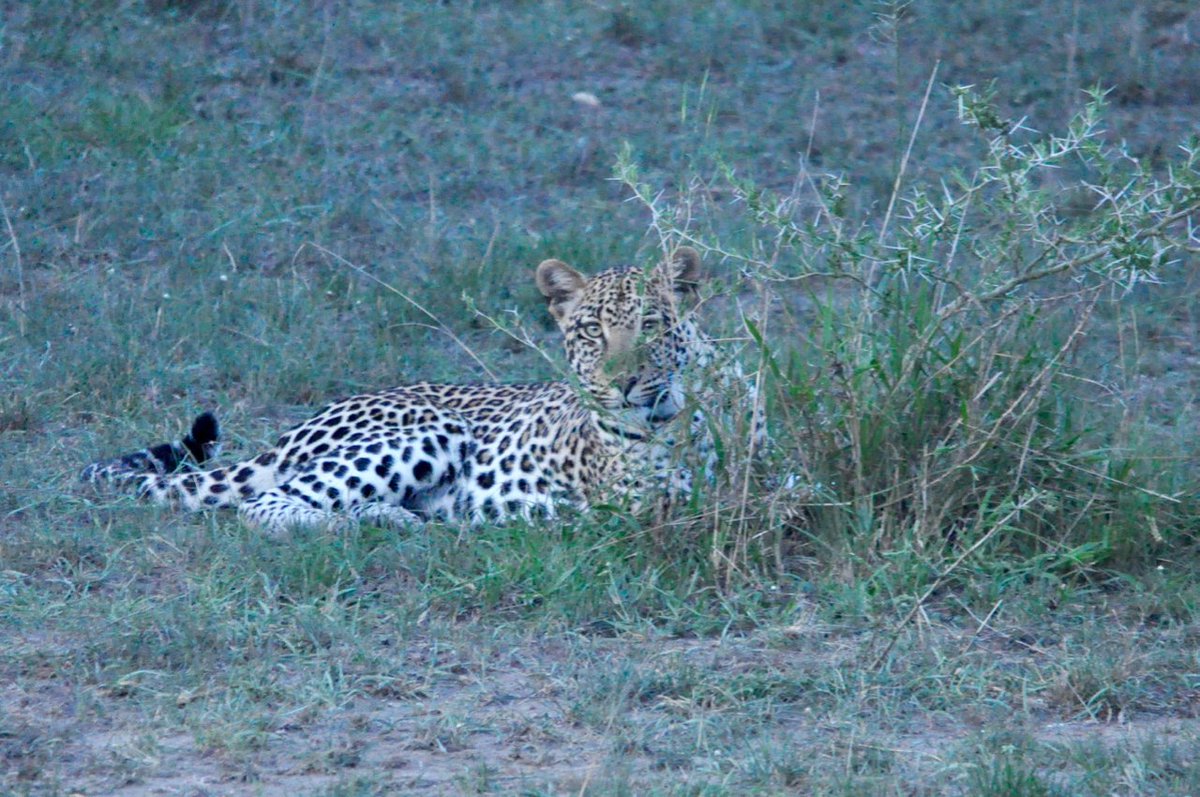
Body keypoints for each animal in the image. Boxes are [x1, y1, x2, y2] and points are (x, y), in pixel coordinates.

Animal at [81, 247, 742, 535]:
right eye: (590, 332)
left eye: (650, 324)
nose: (622, 383)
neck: (683, 413)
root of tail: (294, 431)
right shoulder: (636, 505)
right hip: (431, 429)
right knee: (265, 504)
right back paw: (369, 528)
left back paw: (402, 518)